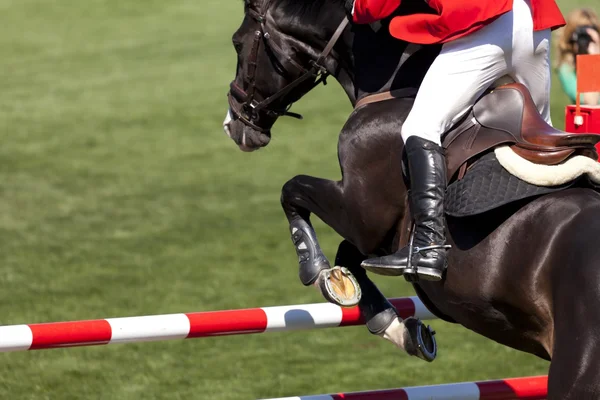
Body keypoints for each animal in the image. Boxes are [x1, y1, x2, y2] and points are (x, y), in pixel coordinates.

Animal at [224, 1, 600, 398]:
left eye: (237, 43)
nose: (233, 123)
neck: (393, 90)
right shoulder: (382, 234)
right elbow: (349, 253)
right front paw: (397, 326)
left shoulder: (361, 215)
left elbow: (293, 191)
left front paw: (317, 271)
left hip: (576, 374)